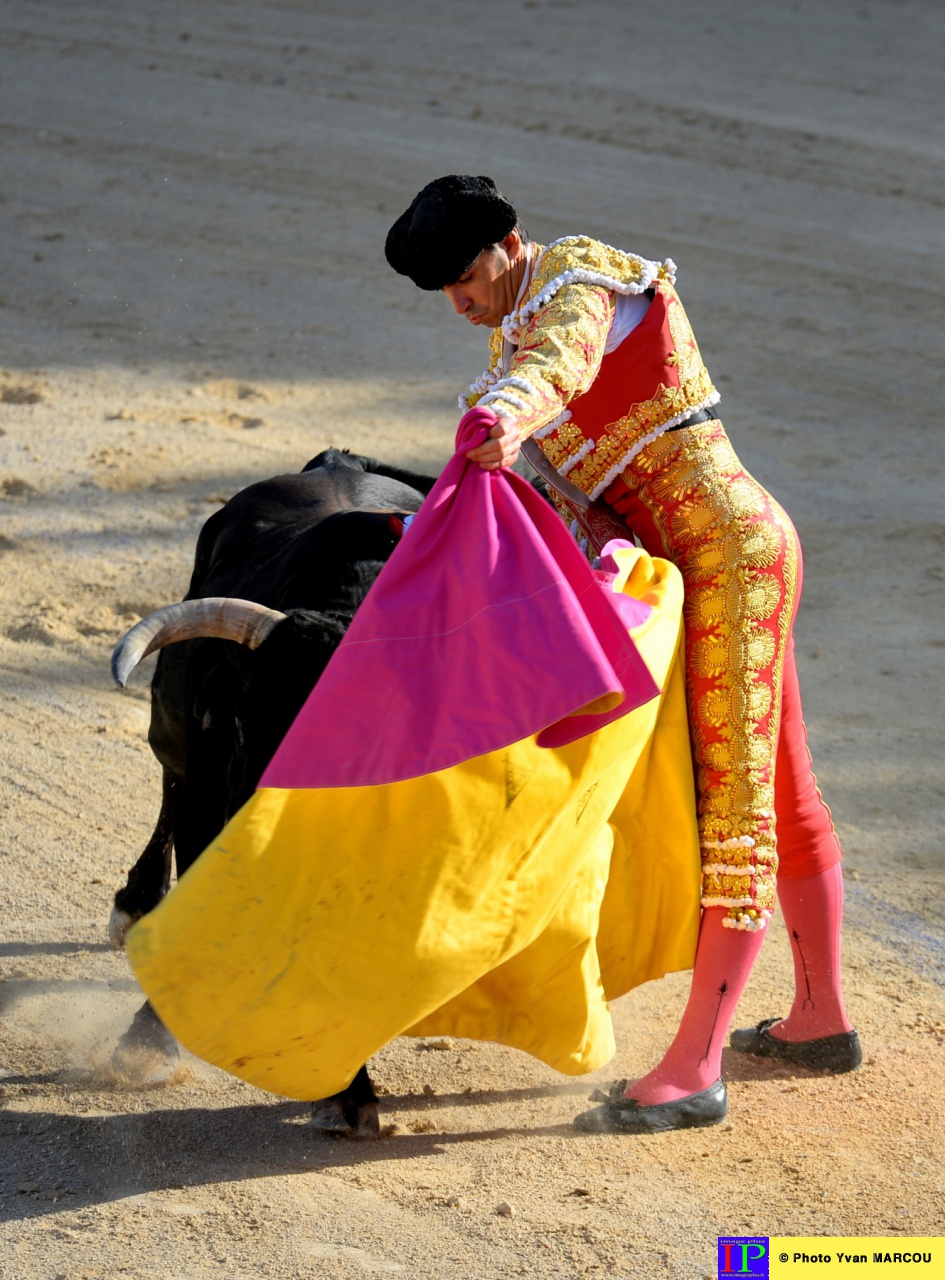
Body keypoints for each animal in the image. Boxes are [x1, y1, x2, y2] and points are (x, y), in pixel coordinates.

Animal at [110, 445, 435, 1136]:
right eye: (249, 722)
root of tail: (335, 461)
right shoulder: (214, 809)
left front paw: (350, 1091)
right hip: (174, 738)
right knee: (171, 790)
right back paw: (133, 914)